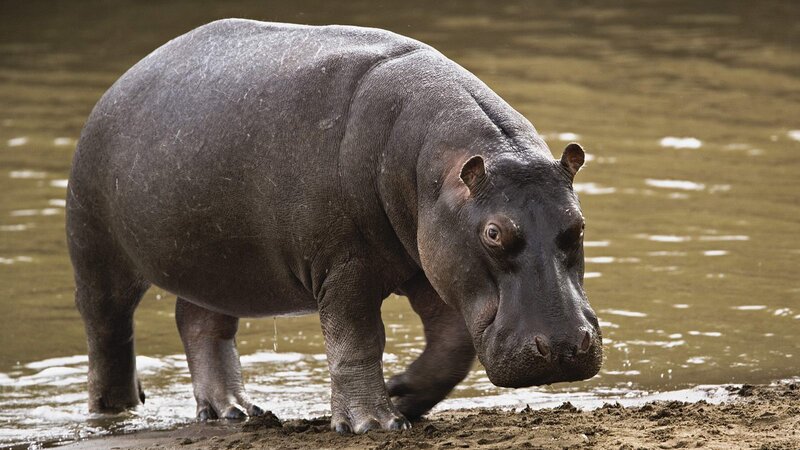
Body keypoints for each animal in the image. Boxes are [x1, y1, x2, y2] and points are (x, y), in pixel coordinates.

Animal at [66, 19, 602, 434]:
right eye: (494, 233)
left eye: (577, 225)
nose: (561, 347)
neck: (435, 168)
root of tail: (120, 82)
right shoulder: (345, 267)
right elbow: (357, 341)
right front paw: (374, 423)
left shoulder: (431, 266)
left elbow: (452, 346)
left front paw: (401, 394)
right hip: (96, 251)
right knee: (107, 335)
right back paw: (115, 413)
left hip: (216, 264)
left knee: (200, 323)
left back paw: (234, 412)